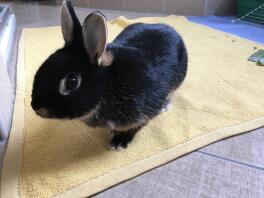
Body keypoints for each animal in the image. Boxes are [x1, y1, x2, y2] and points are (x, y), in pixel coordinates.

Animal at [31, 0, 188, 148]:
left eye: (72, 81)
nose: (36, 107)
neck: (108, 86)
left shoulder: (144, 112)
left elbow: (135, 127)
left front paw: (118, 142)